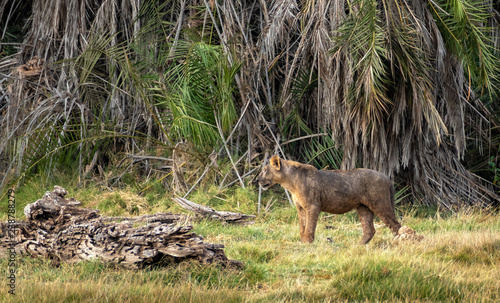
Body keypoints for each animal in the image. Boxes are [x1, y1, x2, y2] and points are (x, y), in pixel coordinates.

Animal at [258, 157, 402, 245]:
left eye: (265, 170)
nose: (257, 180)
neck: (290, 183)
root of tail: (387, 177)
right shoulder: (300, 208)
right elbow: (302, 226)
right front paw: (302, 241)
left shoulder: (313, 206)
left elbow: (310, 226)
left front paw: (307, 243)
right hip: (363, 208)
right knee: (369, 230)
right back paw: (357, 246)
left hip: (380, 204)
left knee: (396, 225)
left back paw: (397, 243)